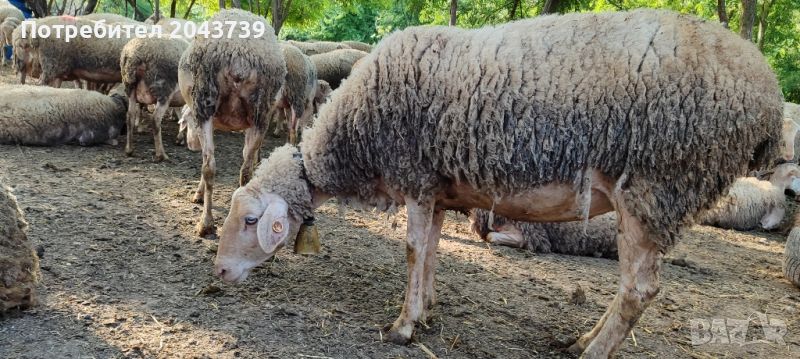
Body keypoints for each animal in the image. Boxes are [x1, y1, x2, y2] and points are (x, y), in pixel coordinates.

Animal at [179, 9, 288, 236]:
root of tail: (239, 55)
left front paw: (198, 194)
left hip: (204, 102)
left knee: (209, 165)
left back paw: (205, 223)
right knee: (242, 169)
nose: (190, 143)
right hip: (261, 113)